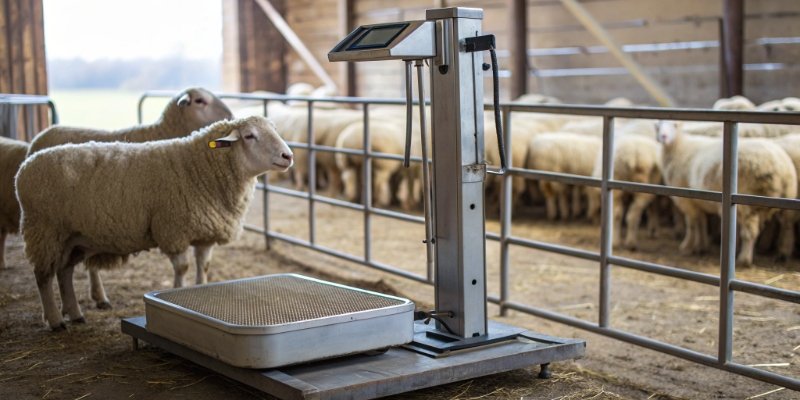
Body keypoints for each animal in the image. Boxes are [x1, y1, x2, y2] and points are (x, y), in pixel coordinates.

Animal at [16, 115, 293, 330]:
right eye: (249, 136)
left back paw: (75, 314)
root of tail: (26, 166)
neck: (199, 168)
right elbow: (182, 269)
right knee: (43, 276)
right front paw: (178, 293)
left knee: (64, 271)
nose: (288, 156)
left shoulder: (204, 234)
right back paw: (55, 321)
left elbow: (203, 269)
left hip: (73, 238)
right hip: (44, 230)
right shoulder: (174, 230)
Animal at [656, 121, 797, 267]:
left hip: (746, 203)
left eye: (675, 125)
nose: (663, 137)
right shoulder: (699, 202)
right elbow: (701, 222)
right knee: (787, 225)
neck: (679, 147)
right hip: (787, 198)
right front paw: (701, 246)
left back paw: (744, 259)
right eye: (657, 127)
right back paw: (783, 253)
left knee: (750, 232)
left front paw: (687, 246)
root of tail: (780, 166)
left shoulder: (686, 201)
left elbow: (692, 224)